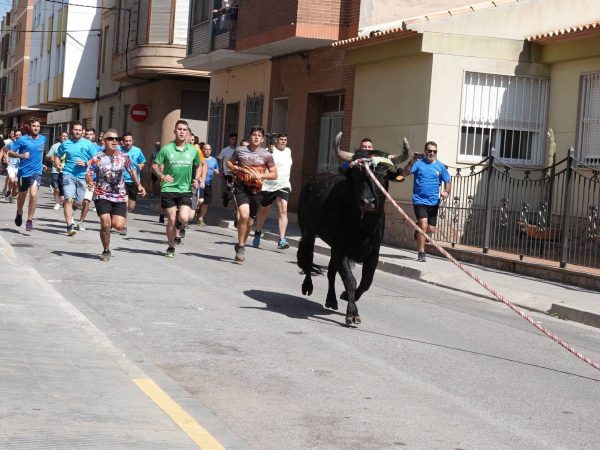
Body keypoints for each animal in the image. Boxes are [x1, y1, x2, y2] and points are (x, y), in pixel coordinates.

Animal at [296, 153, 400, 326]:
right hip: (308, 230)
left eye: (383, 176)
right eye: (357, 176)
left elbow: (366, 282)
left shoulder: (374, 253)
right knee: (308, 258)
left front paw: (347, 296)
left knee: (331, 272)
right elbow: (350, 280)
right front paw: (352, 313)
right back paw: (307, 286)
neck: (363, 227)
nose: (368, 202)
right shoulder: (341, 249)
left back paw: (331, 300)